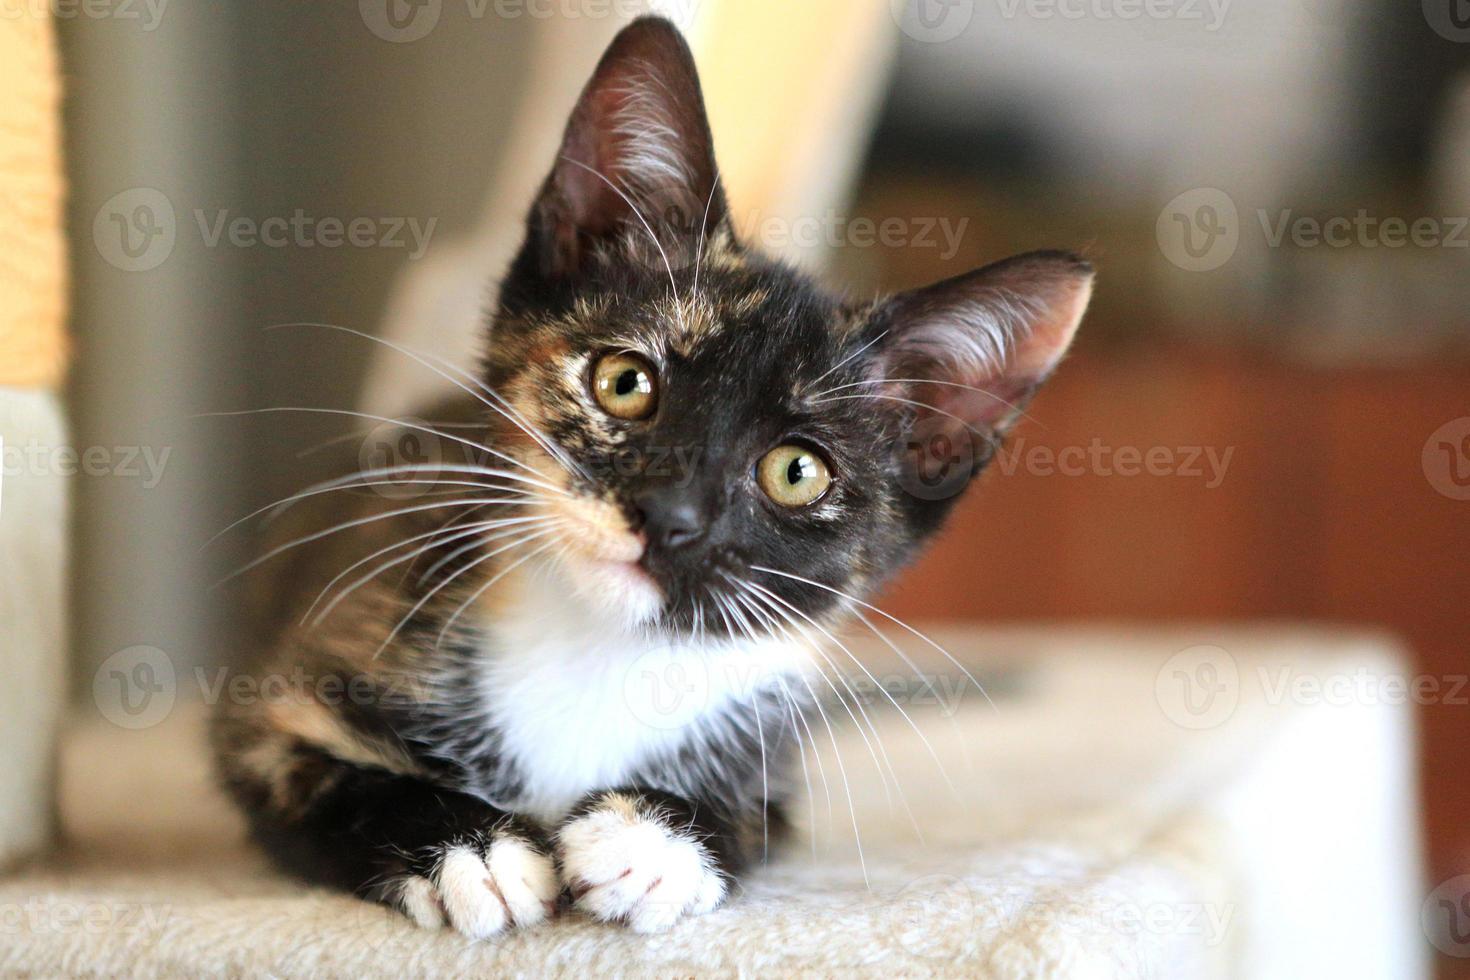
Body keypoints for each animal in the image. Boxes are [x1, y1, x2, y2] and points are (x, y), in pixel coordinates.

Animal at [214, 13, 1093, 934]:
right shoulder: (272, 707)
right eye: (625, 382)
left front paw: (655, 841)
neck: (596, 647)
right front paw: (470, 849)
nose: (670, 516)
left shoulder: (772, 763)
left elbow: (754, 820)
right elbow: (329, 781)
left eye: (797, 472)